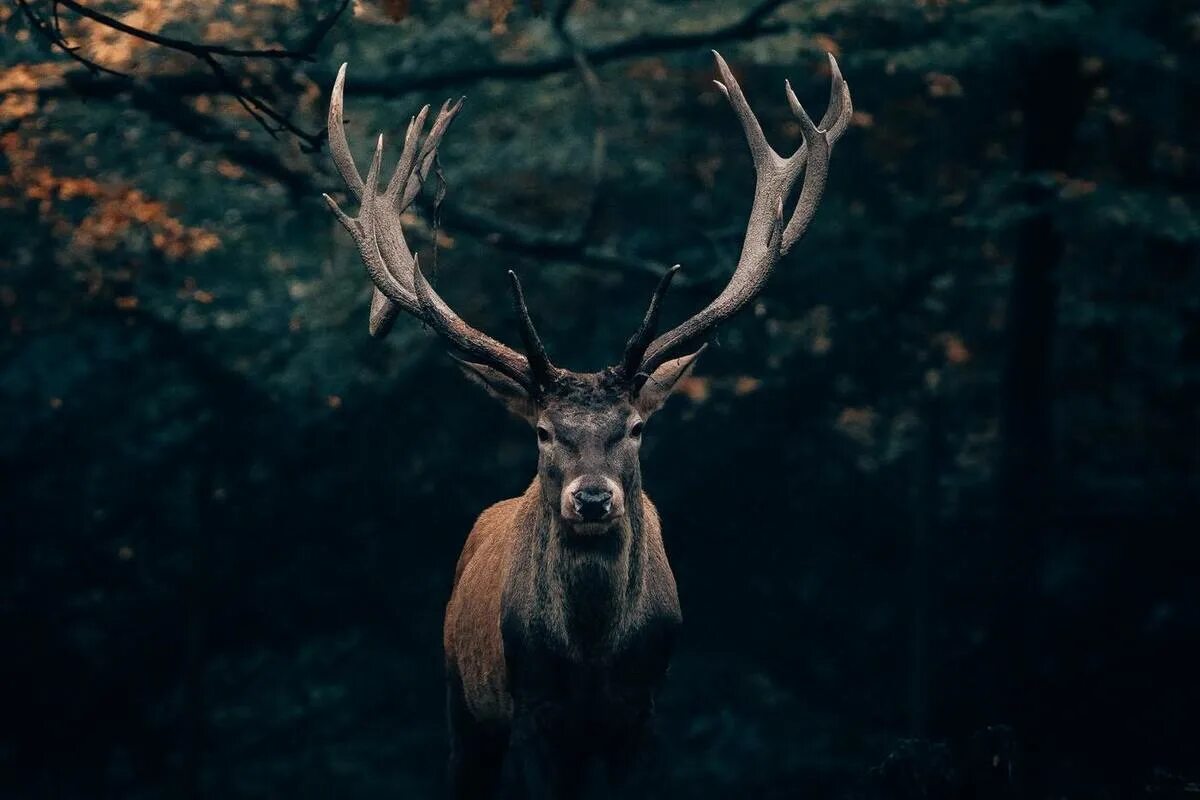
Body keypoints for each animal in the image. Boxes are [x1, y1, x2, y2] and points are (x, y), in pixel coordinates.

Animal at [321, 51, 854, 800]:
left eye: (635, 428)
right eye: (544, 431)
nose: (594, 498)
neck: (592, 659)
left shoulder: (642, 712)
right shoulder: (531, 710)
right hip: (463, 700)